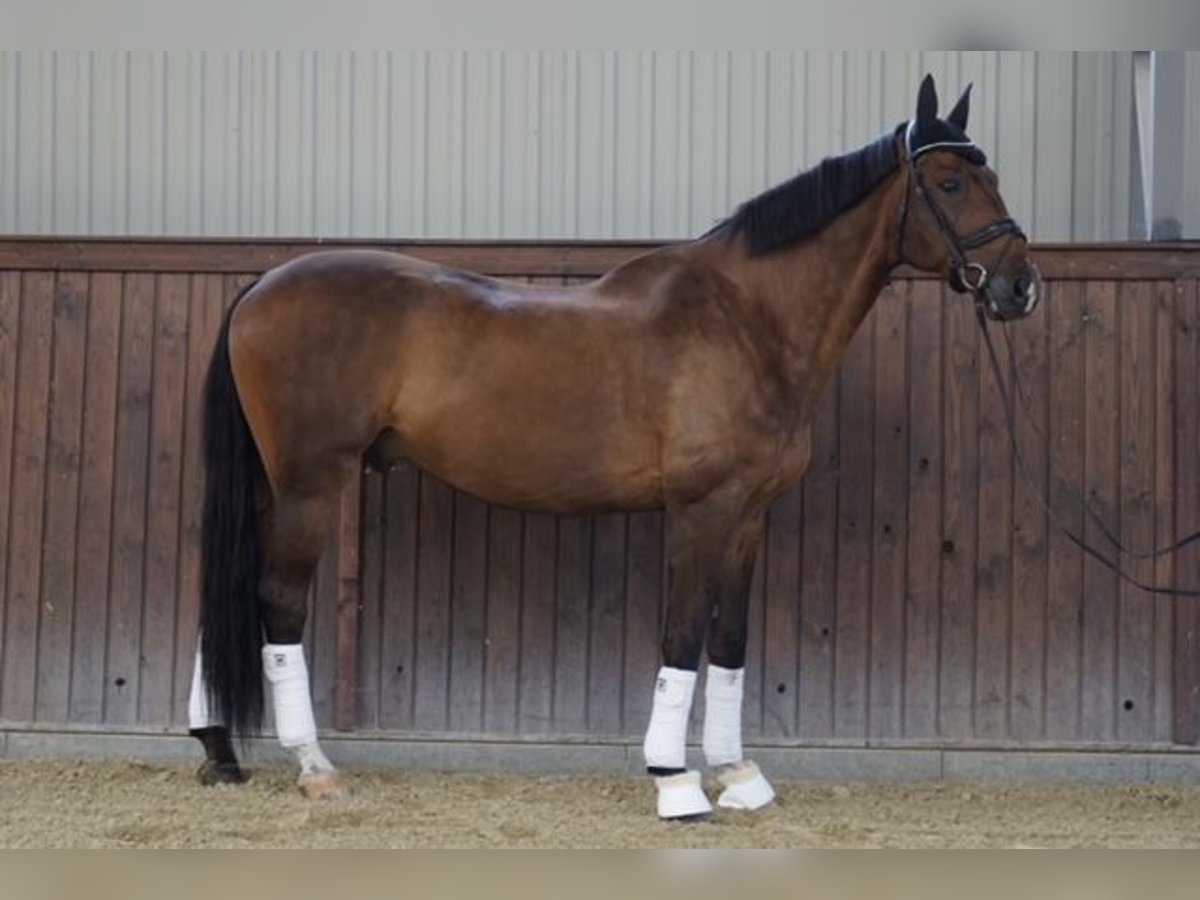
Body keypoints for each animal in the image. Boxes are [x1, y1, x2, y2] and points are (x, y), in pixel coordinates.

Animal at [189, 77, 1041, 820]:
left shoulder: (749, 515)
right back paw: (314, 767)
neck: (745, 320)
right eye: (950, 183)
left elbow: (729, 640)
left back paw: (219, 750)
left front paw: (739, 774)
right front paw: (675, 782)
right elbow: (683, 634)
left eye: (992, 173)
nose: (1019, 287)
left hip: (271, 485)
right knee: (278, 603)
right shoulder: (702, 510)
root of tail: (261, 285)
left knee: (227, 591)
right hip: (310, 485)